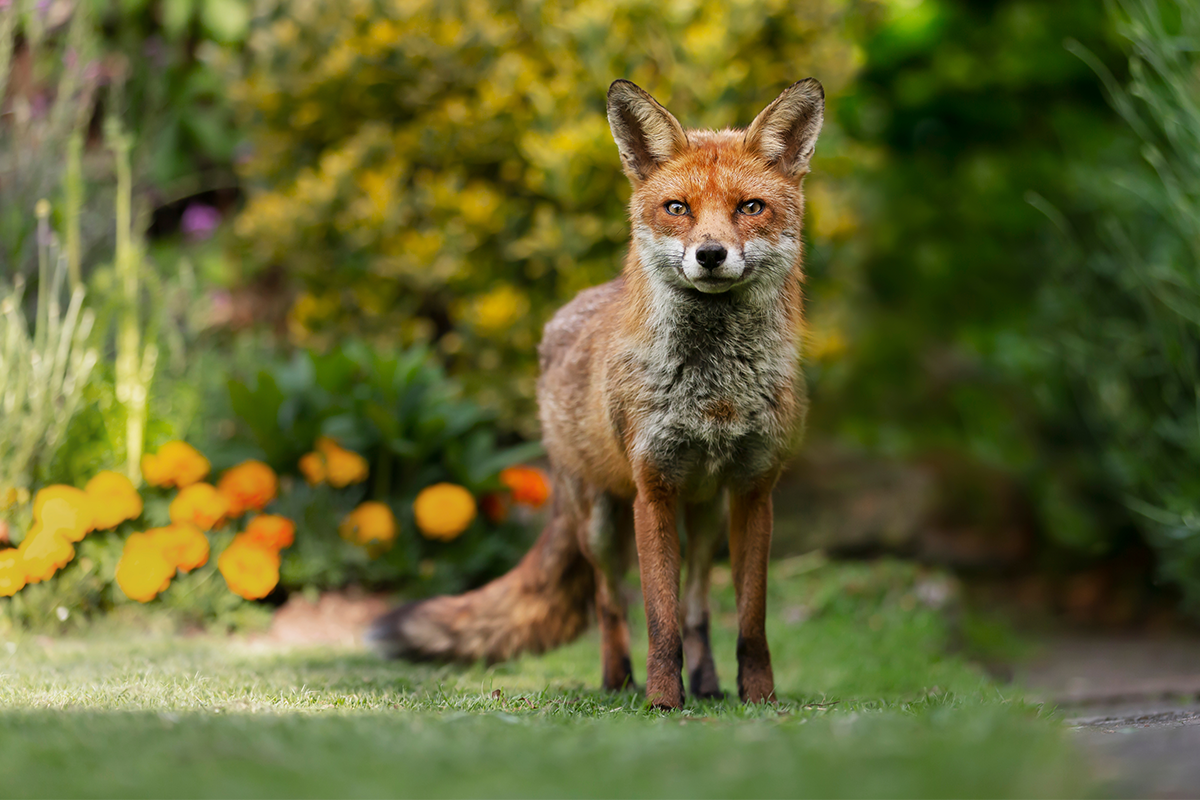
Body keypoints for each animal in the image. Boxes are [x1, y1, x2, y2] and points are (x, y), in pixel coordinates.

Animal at [369, 77, 825, 710]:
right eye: (677, 208)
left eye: (750, 207)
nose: (710, 255)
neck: (714, 394)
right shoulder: (652, 489)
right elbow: (657, 620)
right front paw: (663, 700)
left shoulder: (755, 490)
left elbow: (749, 621)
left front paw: (759, 698)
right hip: (600, 523)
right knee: (610, 604)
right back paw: (618, 682)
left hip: (707, 517)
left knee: (698, 608)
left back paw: (709, 685)